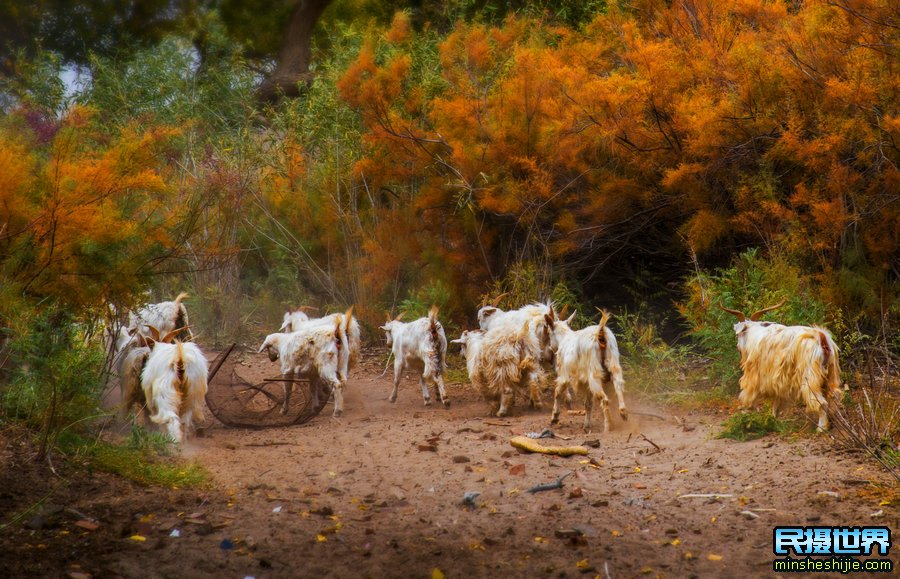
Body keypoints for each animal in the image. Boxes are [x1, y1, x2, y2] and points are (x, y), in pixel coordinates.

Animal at [716, 304, 844, 430]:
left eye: (739, 335)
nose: (738, 348)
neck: (754, 336)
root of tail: (821, 338)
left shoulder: (758, 376)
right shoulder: (777, 380)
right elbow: (777, 399)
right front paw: (773, 418)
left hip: (810, 378)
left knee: (821, 402)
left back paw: (821, 428)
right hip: (831, 374)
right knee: (834, 397)